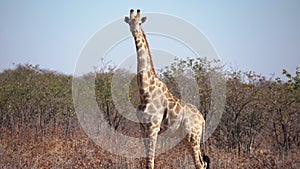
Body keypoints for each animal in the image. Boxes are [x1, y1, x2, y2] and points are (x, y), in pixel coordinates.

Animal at [124, 9, 209, 169]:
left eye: (139, 22)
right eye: (130, 22)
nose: (135, 31)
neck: (145, 91)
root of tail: (202, 119)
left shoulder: (153, 127)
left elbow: (150, 161)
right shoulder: (143, 128)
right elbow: (147, 160)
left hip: (193, 137)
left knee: (200, 164)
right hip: (186, 138)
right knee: (202, 162)